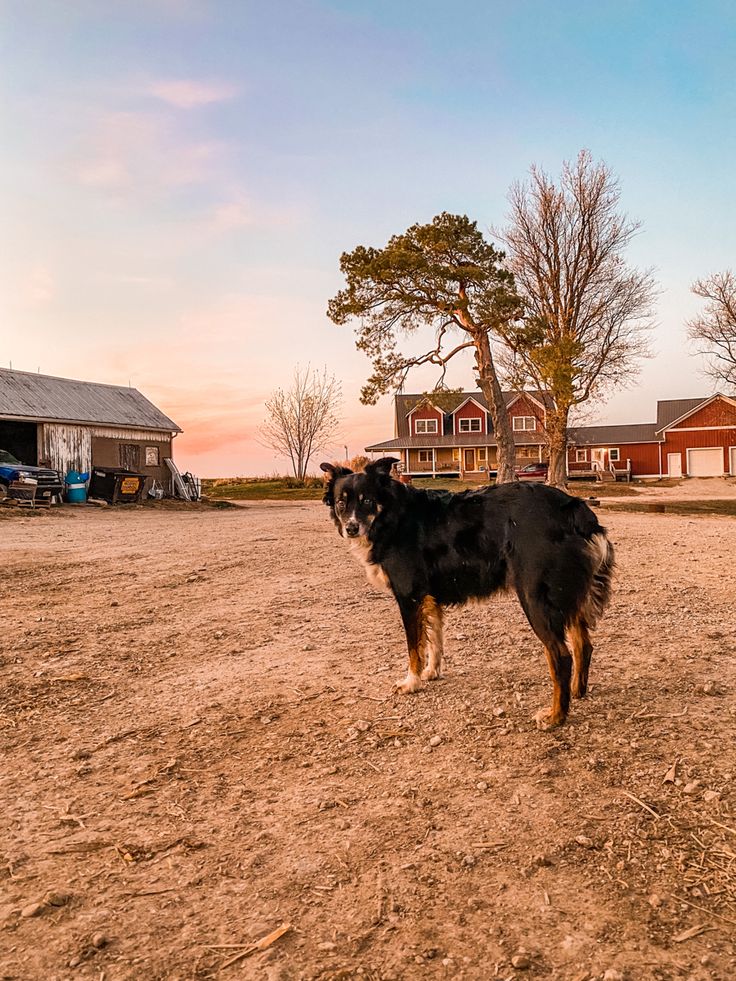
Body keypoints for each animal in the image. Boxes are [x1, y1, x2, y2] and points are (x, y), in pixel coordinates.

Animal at [322, 460, 616, 728]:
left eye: (368, 501)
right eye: (341, 503)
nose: (351, 528)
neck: (391, 517)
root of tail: (574, 507)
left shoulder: (409, 597)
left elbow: (414, 648)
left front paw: (412, 682)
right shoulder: (429, 598)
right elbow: (434, 640)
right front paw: (431, 672)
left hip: (536, 600)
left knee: (561, 656)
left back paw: (556, 716)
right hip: (567, 596)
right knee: (583, 645)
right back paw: (577, 693)